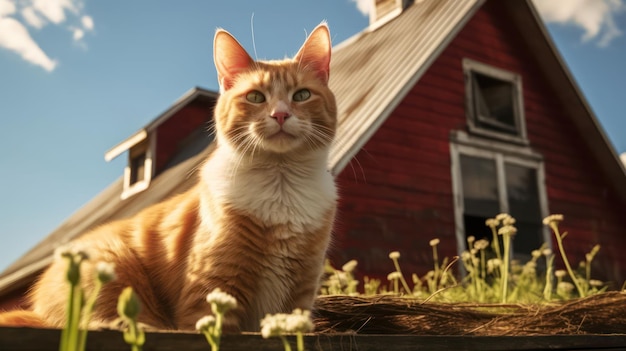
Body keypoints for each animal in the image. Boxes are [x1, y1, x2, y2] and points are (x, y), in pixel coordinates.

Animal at [1, 22, 336, 332]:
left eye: (302, 95)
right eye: (255, 97)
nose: (280, 115)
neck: (281, 186)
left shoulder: (299, 297)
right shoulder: (212, 292)